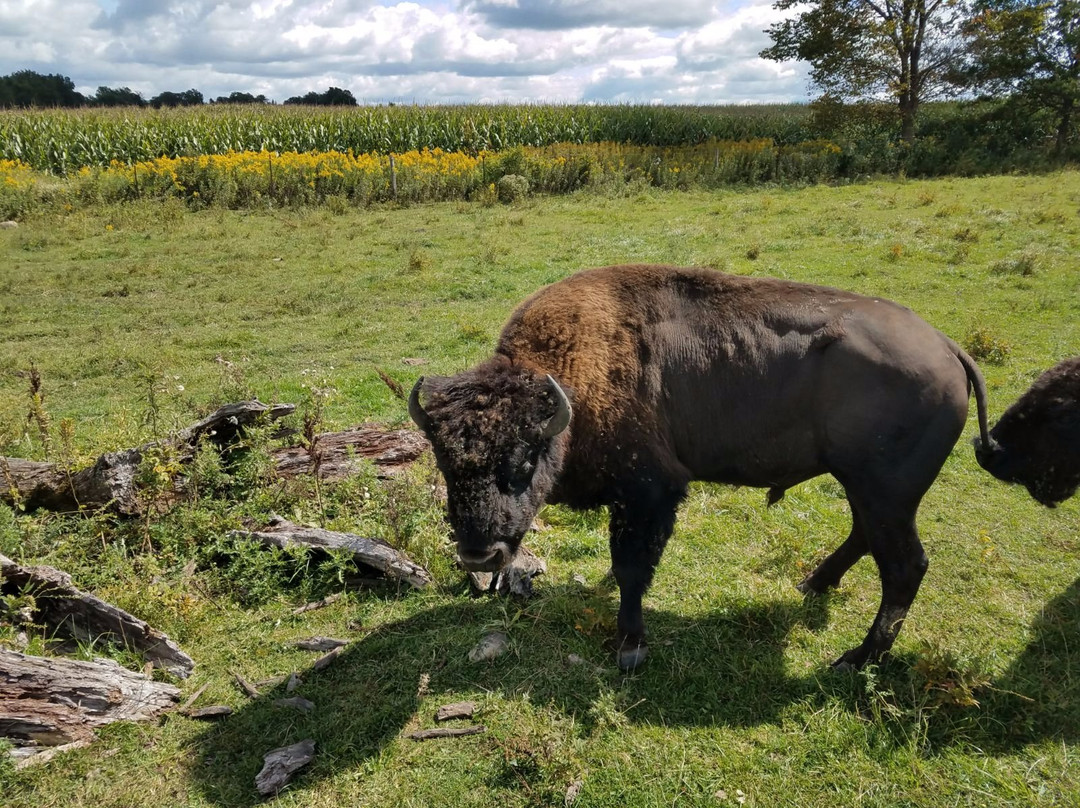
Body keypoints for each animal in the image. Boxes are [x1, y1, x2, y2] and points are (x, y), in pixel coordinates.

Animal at [406, 263, 989, 669]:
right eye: (444, 461)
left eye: (525, 458)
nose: (480, 554)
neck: (570, 379)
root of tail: (947, 348)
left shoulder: (649, 493)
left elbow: (632, 567)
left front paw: (630, 646)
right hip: (865, 486)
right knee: (866, 538)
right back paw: (813, 586)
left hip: (886, 492)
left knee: (905, 567)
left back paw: (856, 659)